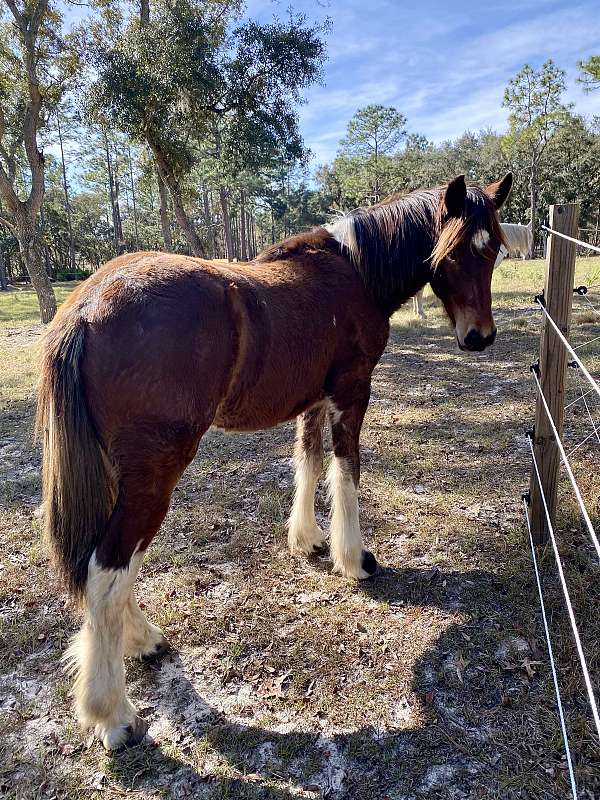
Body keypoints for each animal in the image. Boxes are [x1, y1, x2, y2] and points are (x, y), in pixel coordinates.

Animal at [37, 170, 510, 752]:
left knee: (107, 566)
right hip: (154, 475)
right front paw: (354, 559)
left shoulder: (312, 400)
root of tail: (85, 309)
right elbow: (346, 472)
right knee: (108, 569)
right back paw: (113, 715)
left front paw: (307, 539)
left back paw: (143, 640)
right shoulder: (351, 394)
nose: (479, 337)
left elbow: (308, 463)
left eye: (494, 250)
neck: (353, 272)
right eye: (454, 252)